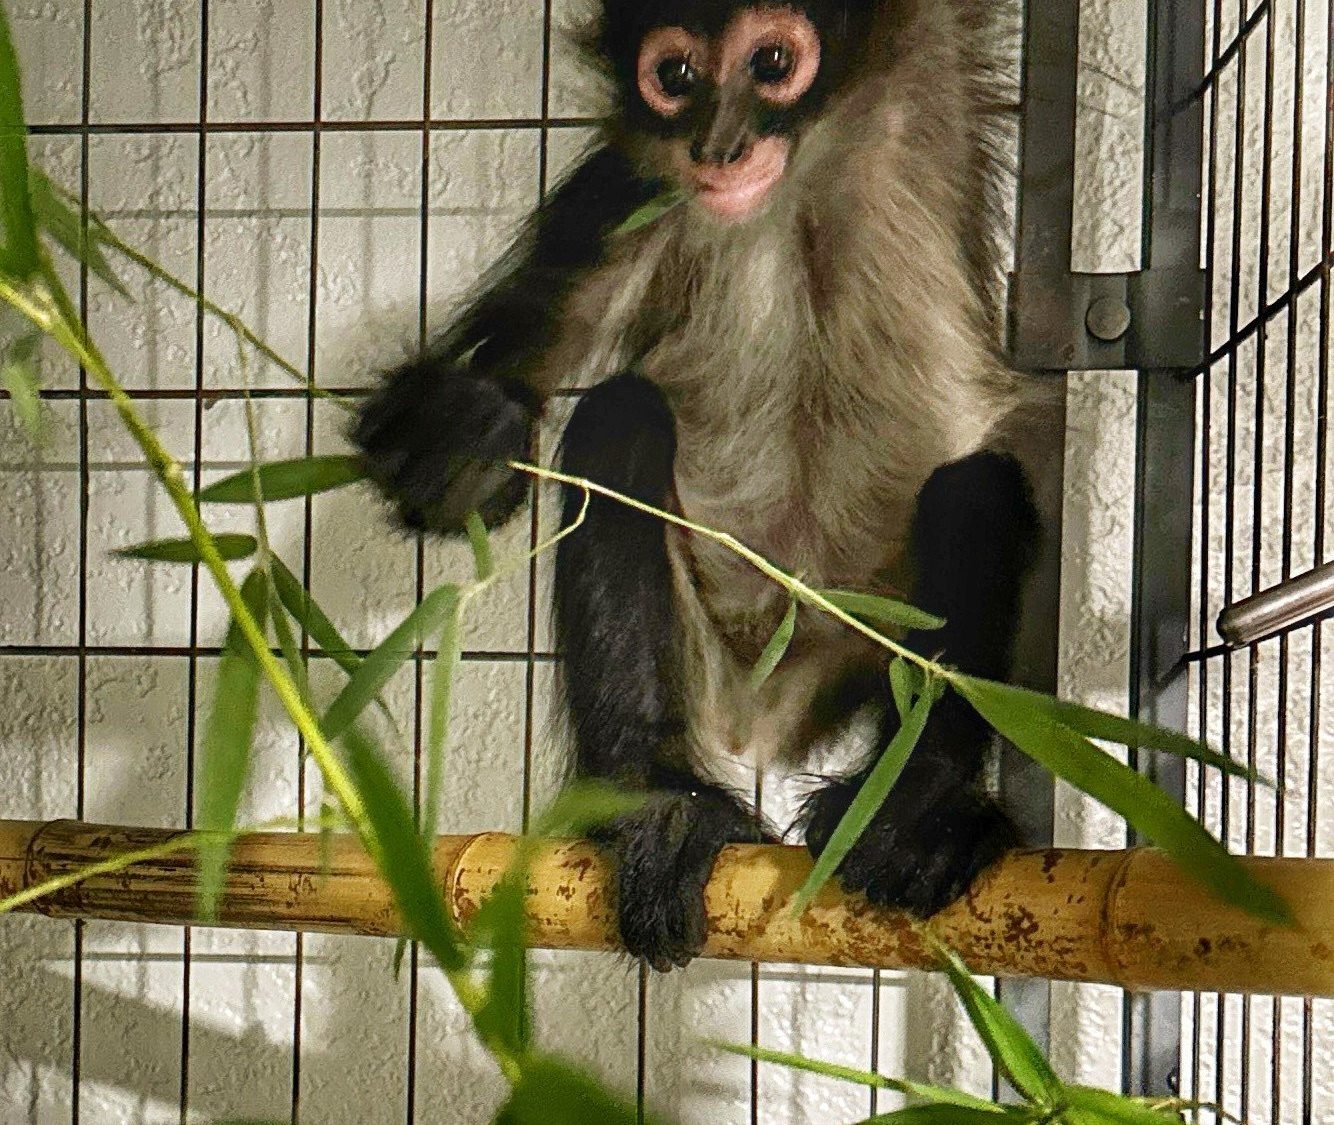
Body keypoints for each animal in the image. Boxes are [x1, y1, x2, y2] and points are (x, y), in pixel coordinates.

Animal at [354, 0, 1042, 972]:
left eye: (774, 62)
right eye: (674, 76)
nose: (718, 147)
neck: (792, 193)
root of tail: (768, 715)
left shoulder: (921, 62)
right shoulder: (631, 189)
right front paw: (463, 430)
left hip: (861, 641)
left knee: (976, 486)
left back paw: (917, 804)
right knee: (620, 420)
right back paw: (660, 805)